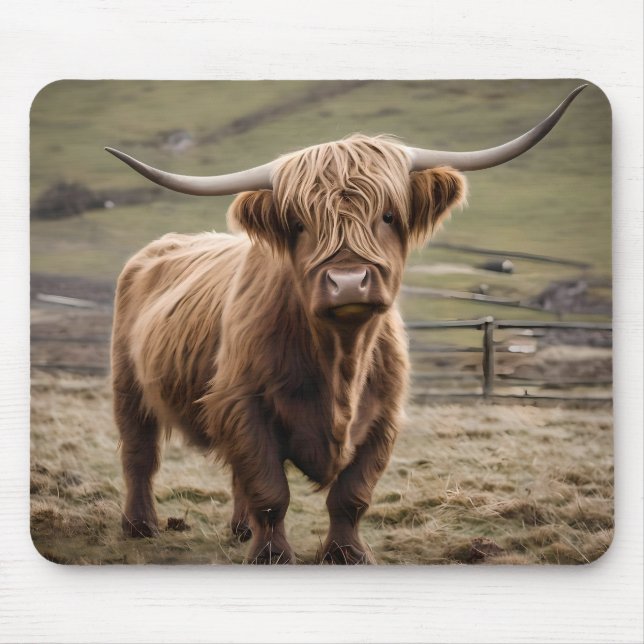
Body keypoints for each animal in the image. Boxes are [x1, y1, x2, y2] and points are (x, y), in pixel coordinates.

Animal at [107, 85, 586, 564]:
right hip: (128, 385)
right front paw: (272, 555)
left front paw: (346, 553)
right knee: (140, 455)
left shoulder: (383, 418)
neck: (341, 358)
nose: (349, 281)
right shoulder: (244, 405)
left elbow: (351, 495)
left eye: (389, 216)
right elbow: (270, 490)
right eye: (299, 223)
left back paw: (240, 530)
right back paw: (140, 525)